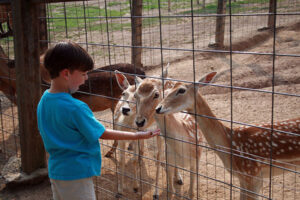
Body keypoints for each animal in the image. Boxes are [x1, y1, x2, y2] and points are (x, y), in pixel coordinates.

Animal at [134, 69, 203, 199]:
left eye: (156, 94)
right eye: (135, 95)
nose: (139, 122)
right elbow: (159, 158)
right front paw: (155, 192)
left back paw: (178, 177)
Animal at [156, 72, 300, 200]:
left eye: (181, 90)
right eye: (167, 90)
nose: (158, 108)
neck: (231, 144)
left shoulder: (253, 175)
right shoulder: (243, 178)